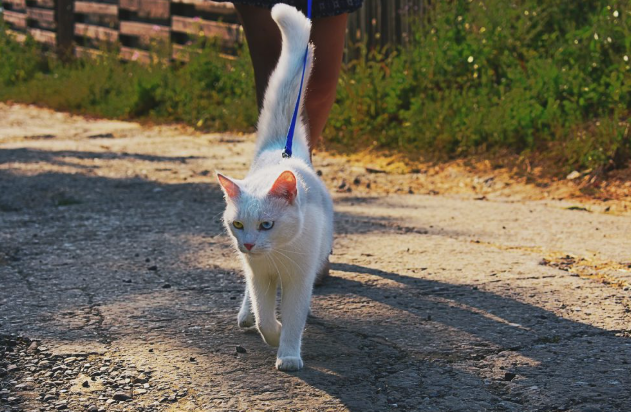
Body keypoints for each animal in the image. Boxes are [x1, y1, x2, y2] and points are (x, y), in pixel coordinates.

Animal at [217, 3, 334, 372]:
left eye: (267, 224)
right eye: (238, 224)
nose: (249, 244)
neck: (277, 255)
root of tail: (281, 150)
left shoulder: (299, 280)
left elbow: (295, 318)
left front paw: (288, 354)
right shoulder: (260, 277)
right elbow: (264, 316)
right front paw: (273, 332)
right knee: (249, 299)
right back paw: (244, 314)